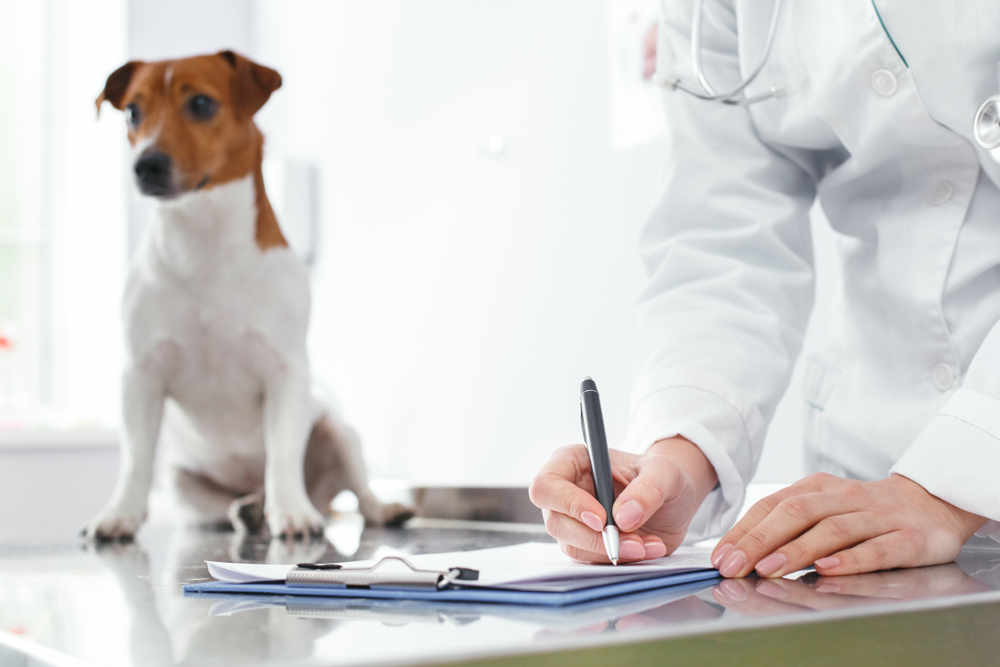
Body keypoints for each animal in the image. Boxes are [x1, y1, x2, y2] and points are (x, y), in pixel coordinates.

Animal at [83, 49, 414, 540]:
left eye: (201, 104)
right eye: (133, 112)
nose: (146, 164)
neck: (204, 242)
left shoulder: (286, 372)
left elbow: (282, 456)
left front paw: (291, 513)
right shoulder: (140, 375)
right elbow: (134, 459)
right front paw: (118, 514)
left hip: (339, 431)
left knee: (356, 489)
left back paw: (371, 508)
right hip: (182, 483)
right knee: (223, 507)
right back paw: (250, 510)